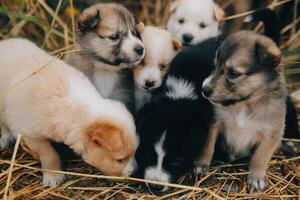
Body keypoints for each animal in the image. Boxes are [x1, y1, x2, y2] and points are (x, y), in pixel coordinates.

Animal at [200, 30, 288, 189]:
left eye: (233, 73)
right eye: (214, 66)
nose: (204, 89)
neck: (245, 105)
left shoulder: (272, 133)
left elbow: (260, 156)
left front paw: (256, 177)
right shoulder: (214, 122)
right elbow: (208, 144)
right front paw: (201, 163)